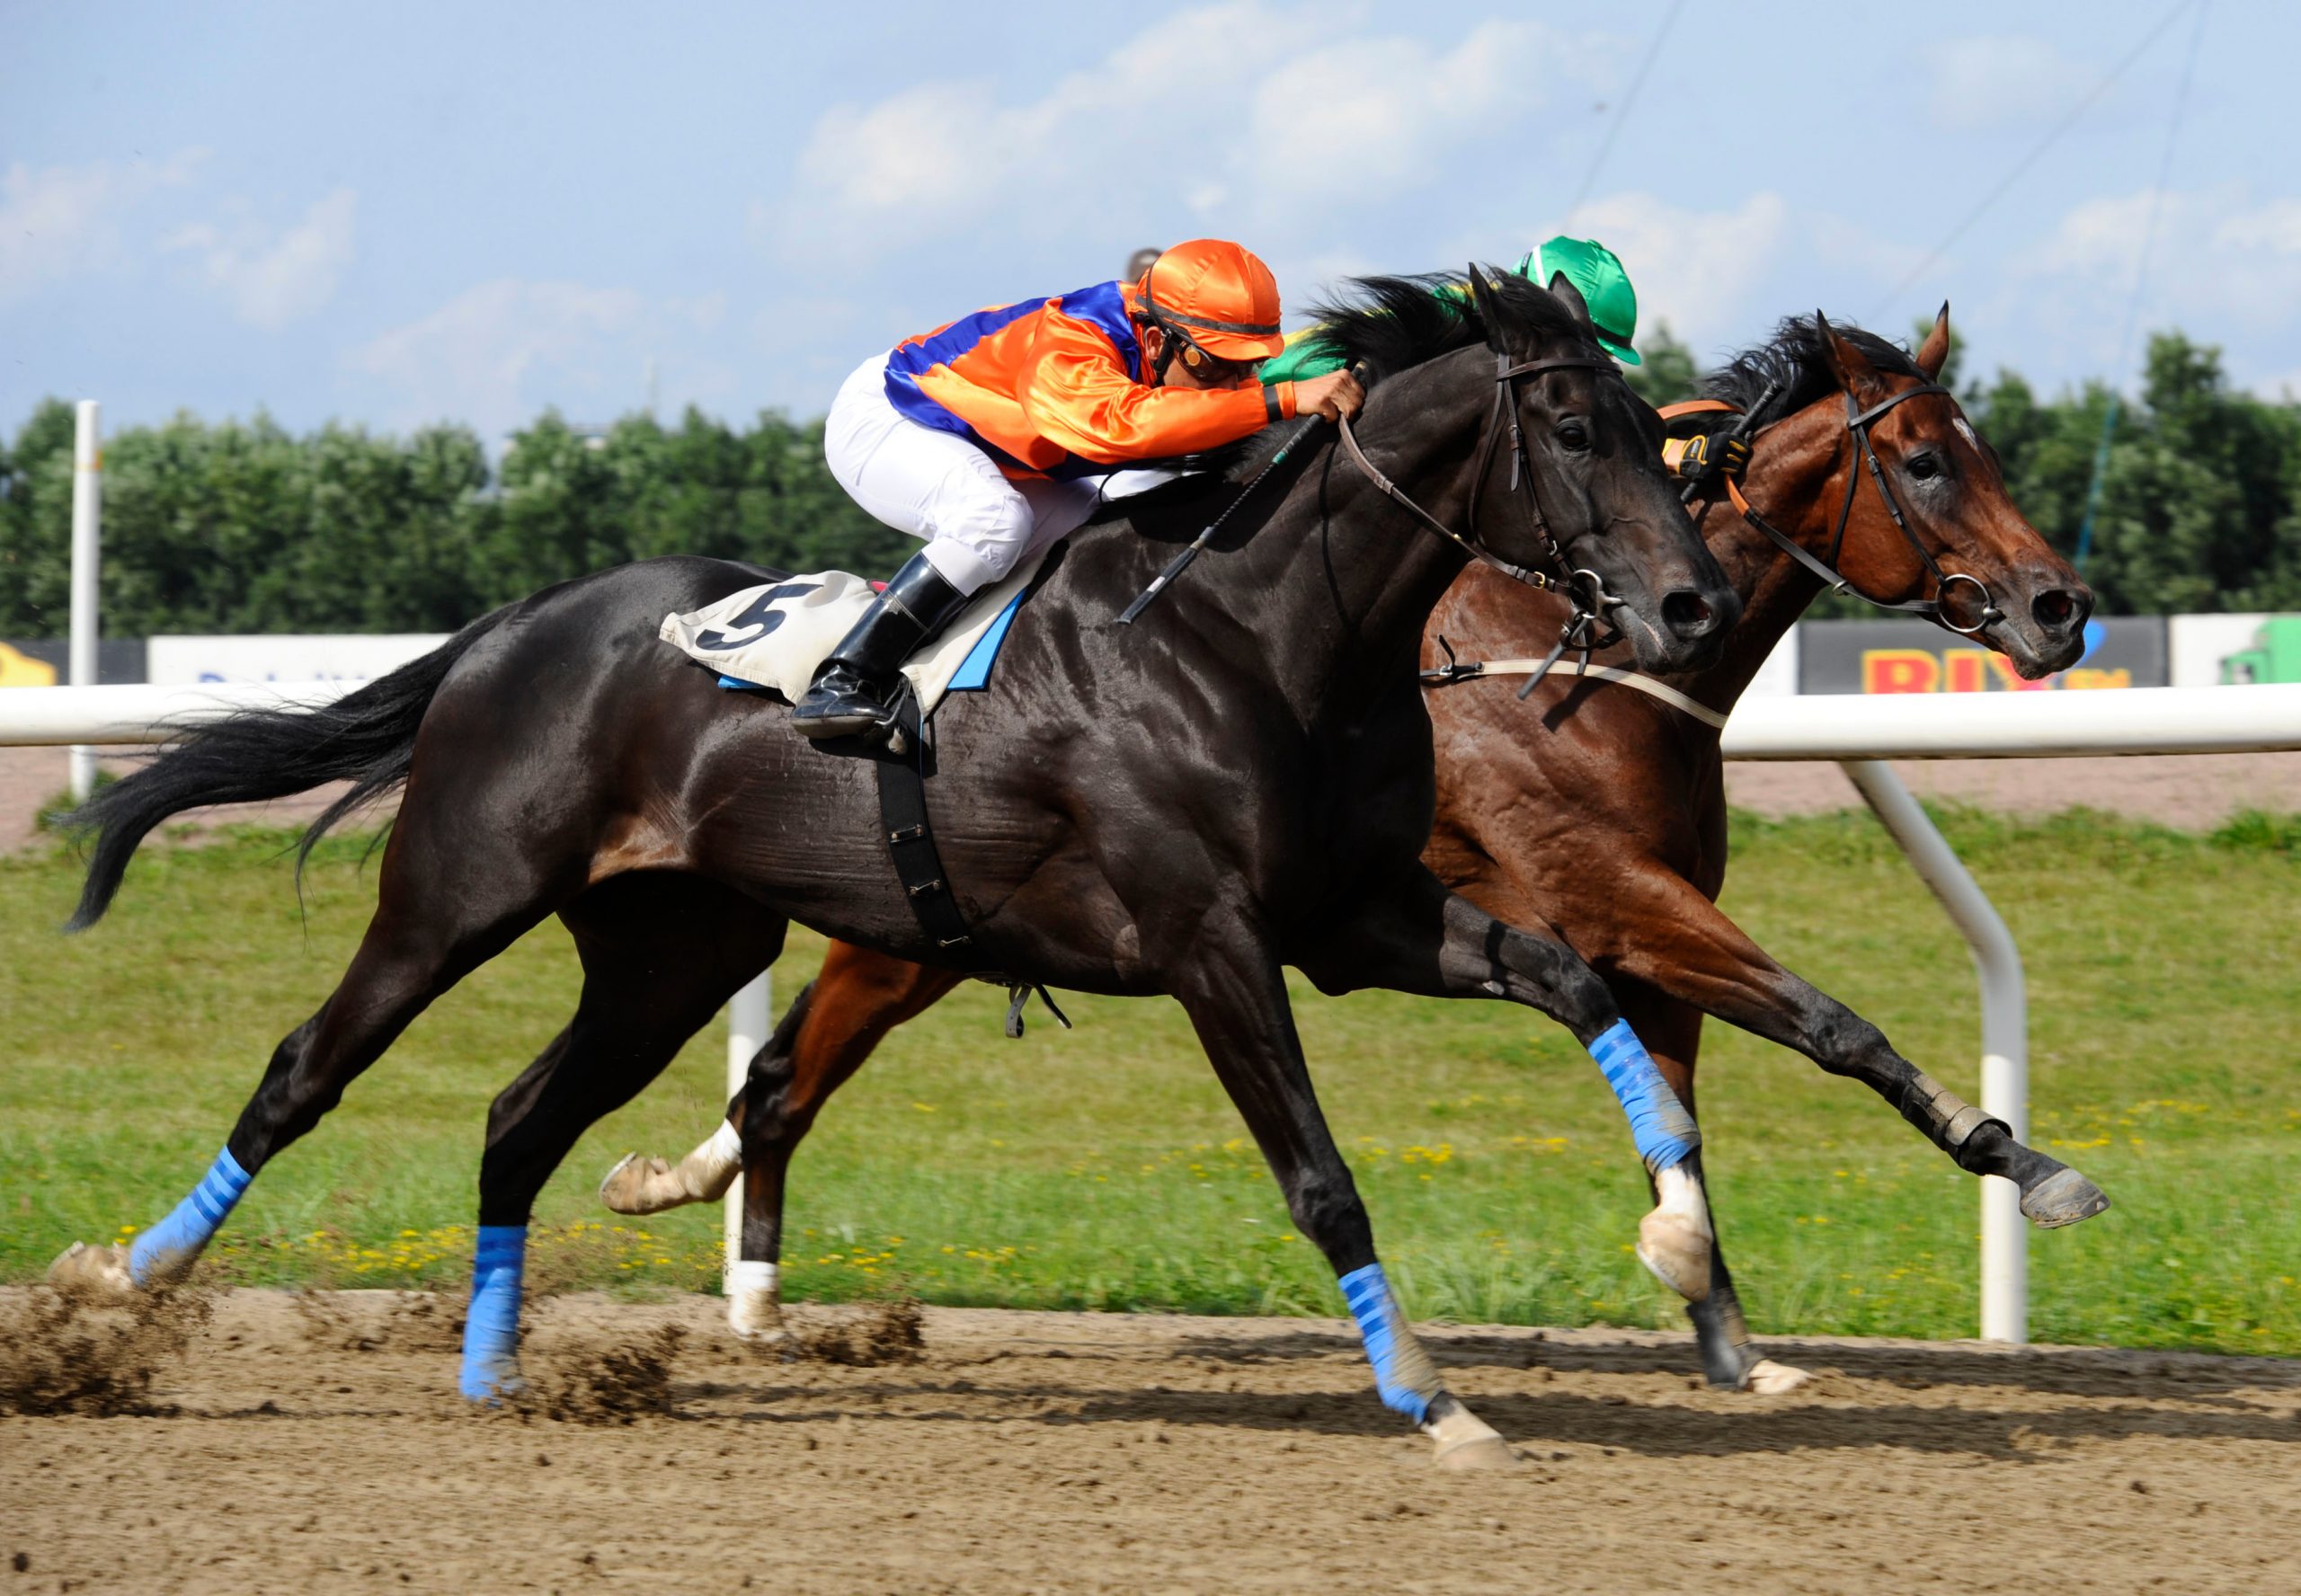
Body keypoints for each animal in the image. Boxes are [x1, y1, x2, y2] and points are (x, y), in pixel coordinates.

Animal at [602, 306, 2107, 1397]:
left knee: (781, 1086)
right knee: (785, 1084)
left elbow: (1680, 1112)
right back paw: (733, 1272)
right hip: (914, 934)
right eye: (1927, 460)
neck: (1590, 663)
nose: (2061, 608)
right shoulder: (1610, 896)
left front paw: (1725, 1329)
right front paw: (2025, 1164)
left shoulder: (1640, 932)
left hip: (942, 939)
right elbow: (1830, 1024)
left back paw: (697, 1225)